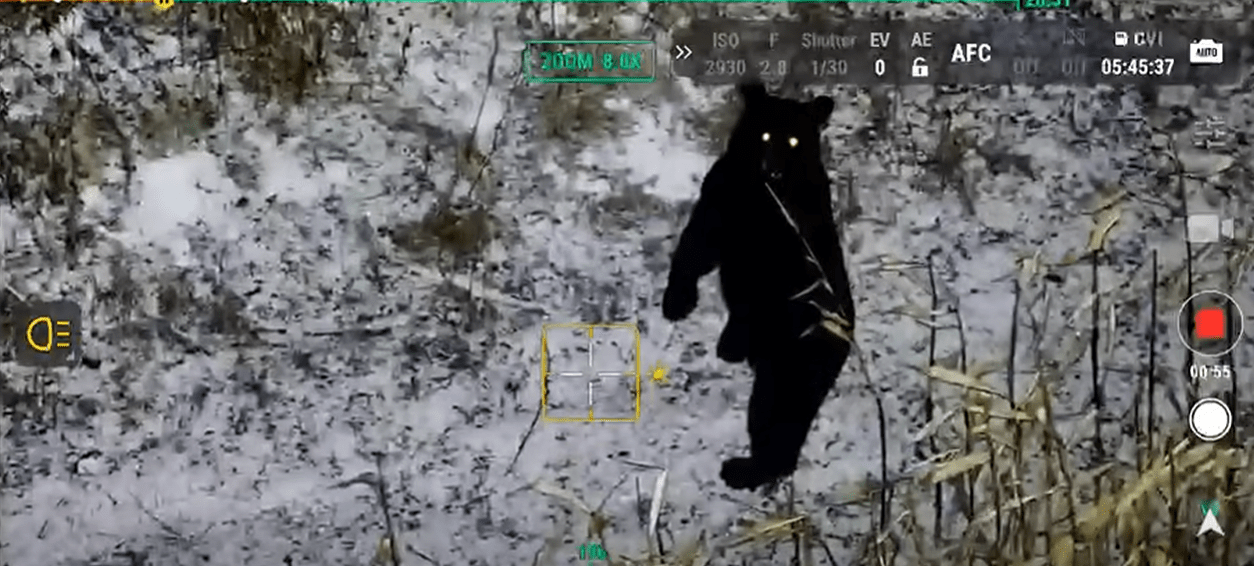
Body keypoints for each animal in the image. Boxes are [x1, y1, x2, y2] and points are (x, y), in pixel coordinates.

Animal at [662, 81, 856, 491]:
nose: (774, 168)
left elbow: (689, 256)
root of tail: (842, 333)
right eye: (765, 134)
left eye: (795, 140)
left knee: (778, 449)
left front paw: (677, 303)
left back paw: (736, 471)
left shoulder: (711, 220)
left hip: (780, 382)